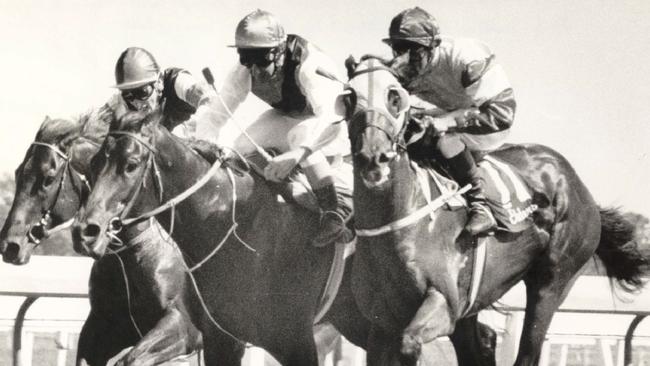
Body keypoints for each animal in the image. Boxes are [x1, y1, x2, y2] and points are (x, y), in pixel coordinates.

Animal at [0, 112, 228, 366]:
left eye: (48, 179)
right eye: (19, 172)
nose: (10, 245)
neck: (132, 252)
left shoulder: (184, 325)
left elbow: (131, 359)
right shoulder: (105, 326)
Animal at [69, 110, 502, 366]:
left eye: (130, 164)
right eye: (93, 164)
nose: (85, 231)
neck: (236, 227)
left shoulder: (291, 339)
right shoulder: (221, 337)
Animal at [342, 58, 644, 364]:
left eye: (394, 97)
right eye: (350, 97)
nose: (373, 158)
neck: (401, 218)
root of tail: (578, 186)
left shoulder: (444, 303)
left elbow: (409, 341)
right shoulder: (381, 325)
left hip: (554, 278)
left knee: (529, 348)